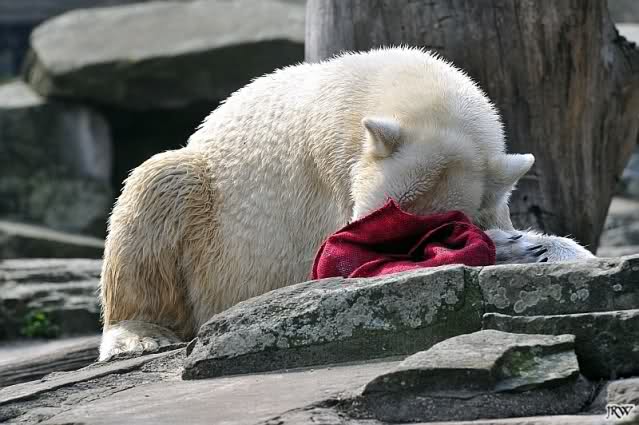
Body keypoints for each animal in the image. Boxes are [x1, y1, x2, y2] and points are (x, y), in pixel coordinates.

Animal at [99, 47, 594, 361]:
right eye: (377, 213)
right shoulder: (330, 170)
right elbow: (318, 257)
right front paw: (515, 247)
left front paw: (541, 247)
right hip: (206, 218)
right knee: (159, 183)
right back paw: (139, 334)